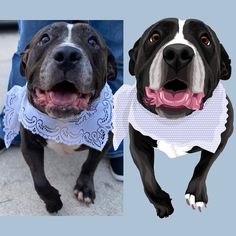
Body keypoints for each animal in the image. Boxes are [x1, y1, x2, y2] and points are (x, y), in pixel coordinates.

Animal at [16, 22, 116, 213]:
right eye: (44, 38)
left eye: (92, 41)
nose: (67, 55)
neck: (63, 122)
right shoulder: (29, 143)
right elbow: (39, 179)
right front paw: (52, 200)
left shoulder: (105, 141)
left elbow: (90, 164)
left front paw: (84, 188)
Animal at [127, 18, 232, 218]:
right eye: (154, 37)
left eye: (205, 40)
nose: (177, 53)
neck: (175, 124)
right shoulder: (137, 143)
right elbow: (147, 176)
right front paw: (162, 203)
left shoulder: (222, 138)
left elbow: (203, 166)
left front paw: (196, 195)